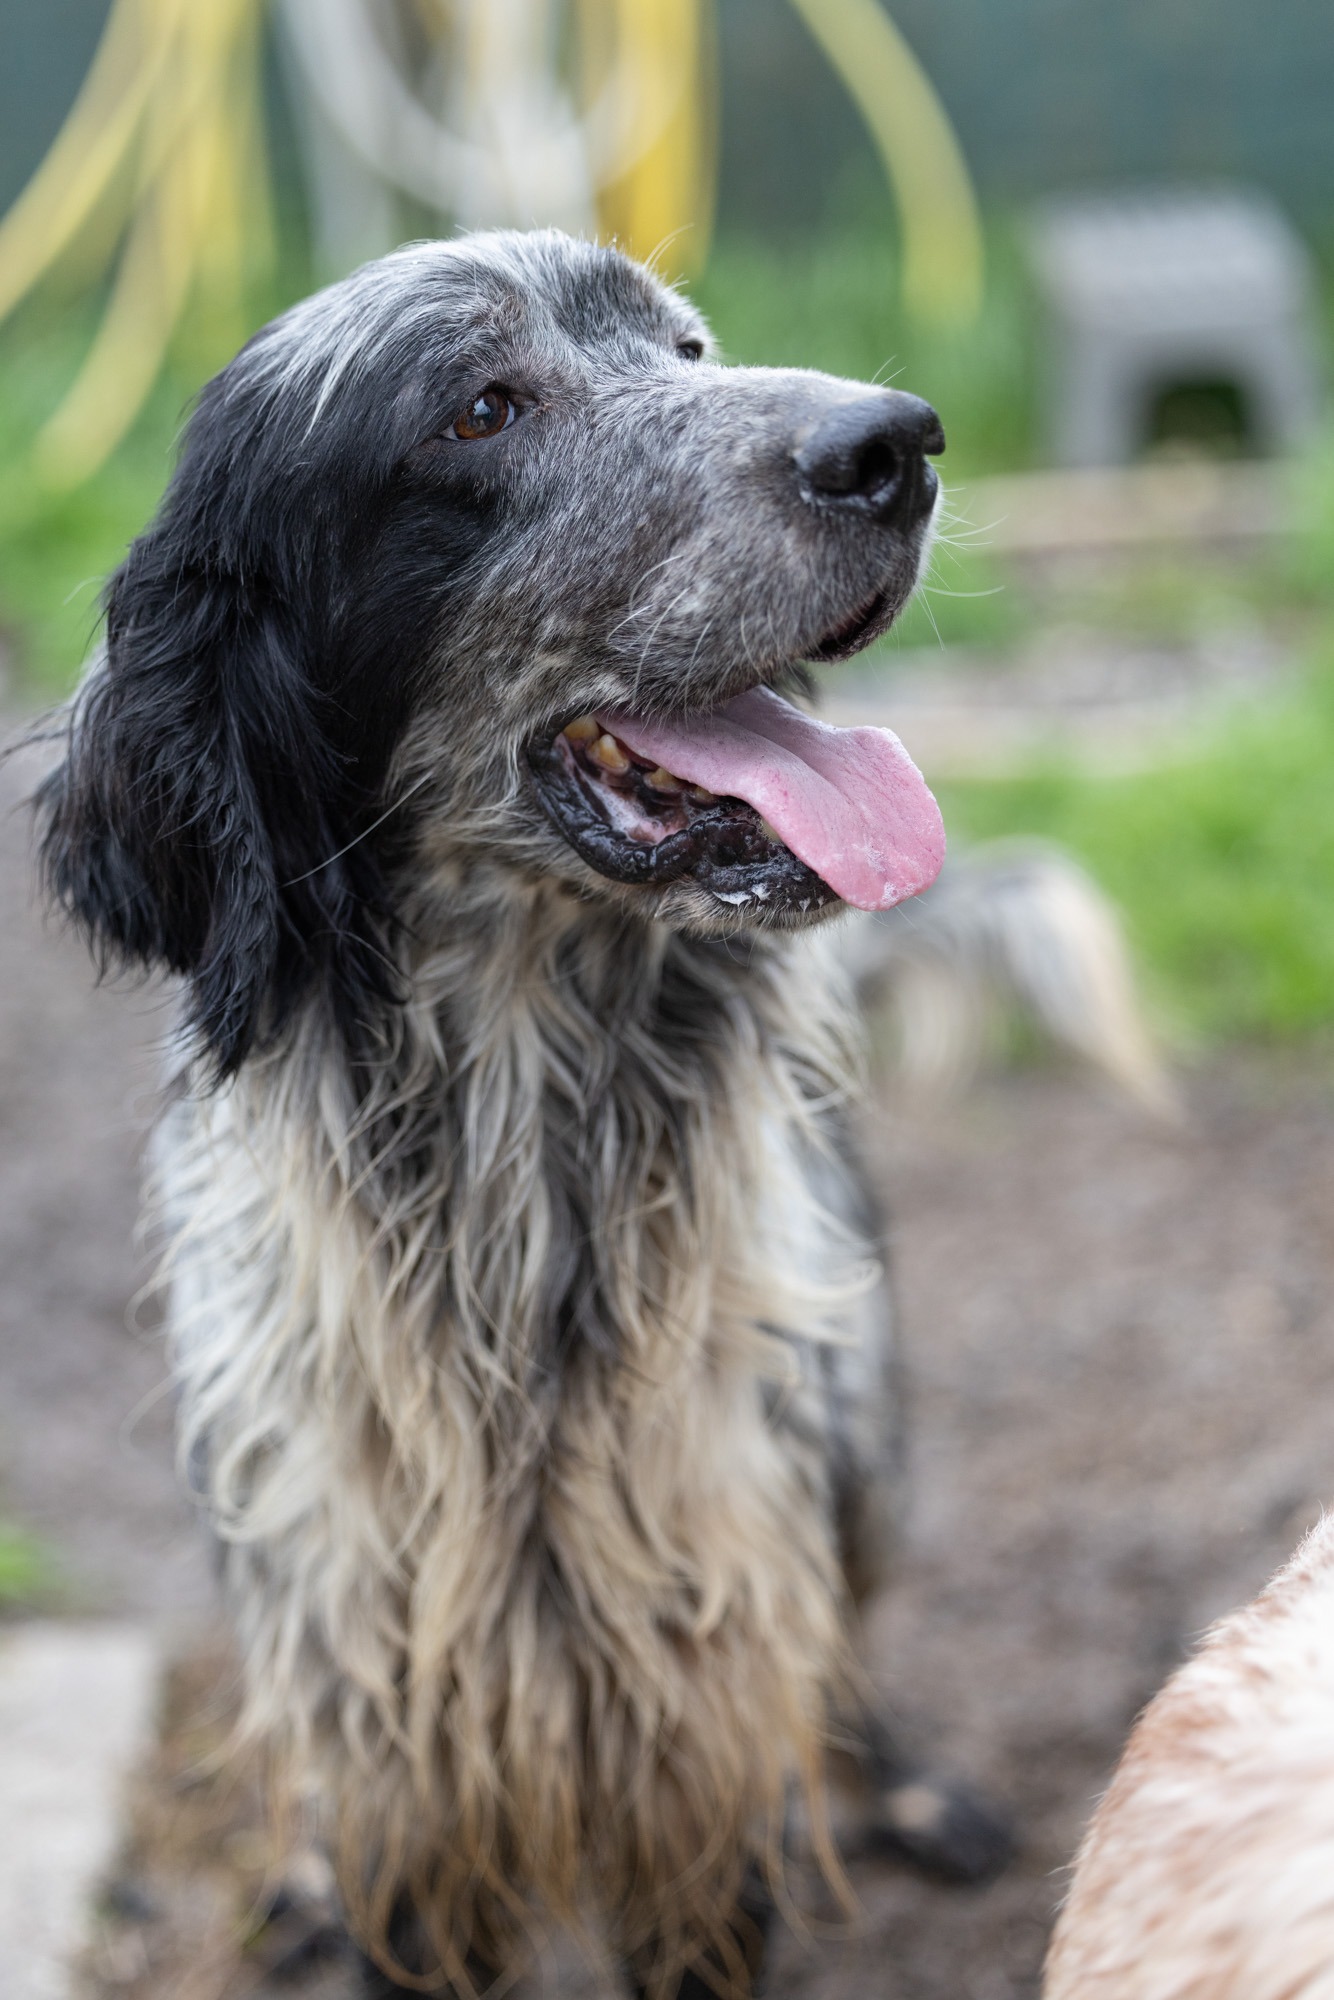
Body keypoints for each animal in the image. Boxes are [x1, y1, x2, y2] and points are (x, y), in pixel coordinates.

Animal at [37, 228, 1017, 1995]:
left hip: (860, 1428)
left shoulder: (695, 1770)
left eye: (690, 350)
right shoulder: (409, 1778)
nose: (896, 443)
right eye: (479, 410)